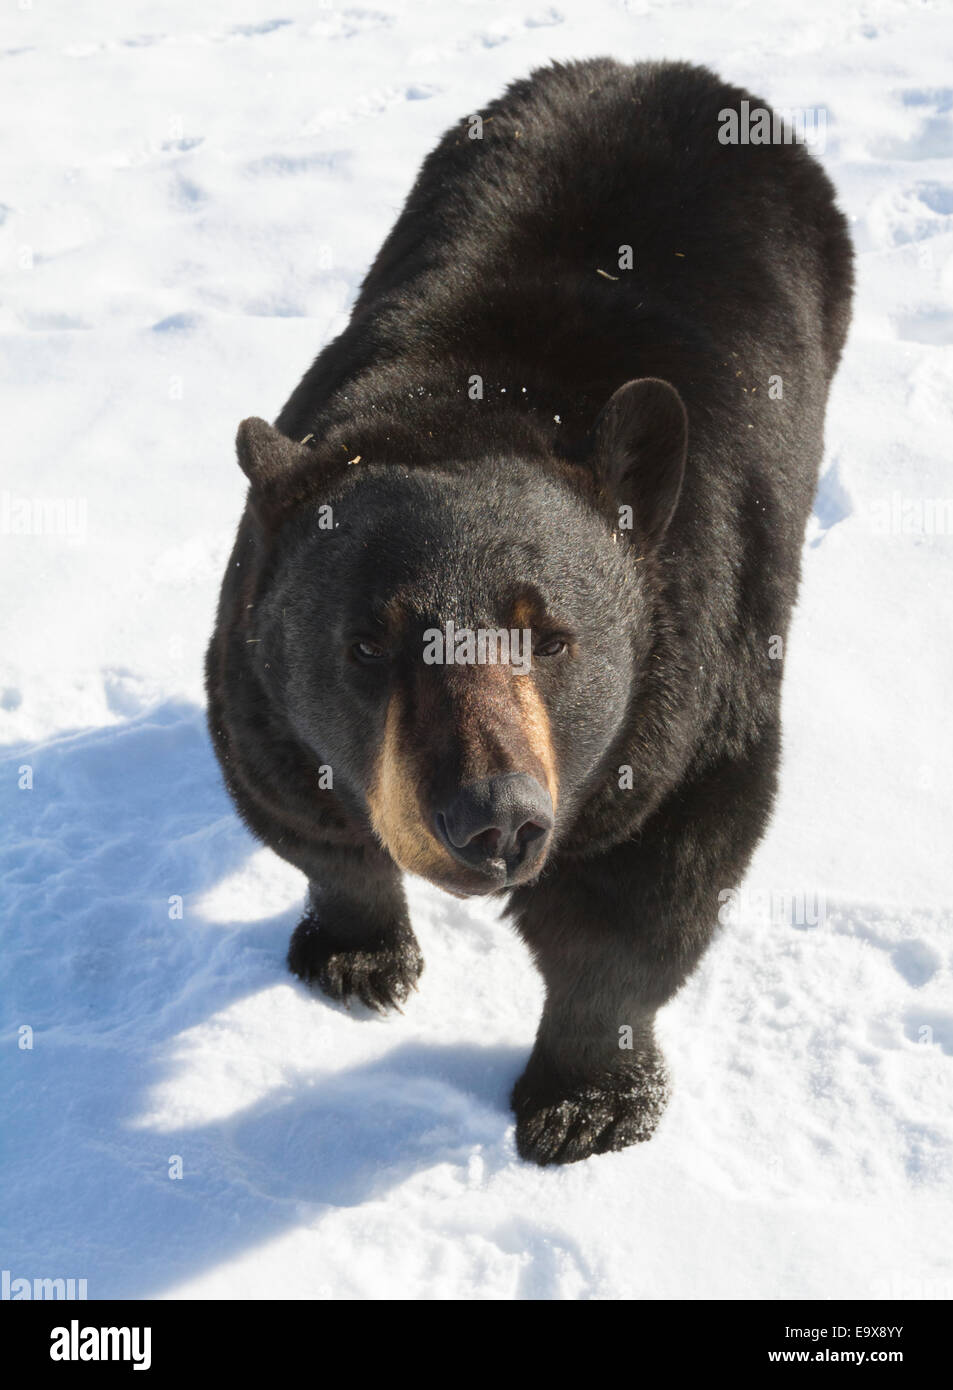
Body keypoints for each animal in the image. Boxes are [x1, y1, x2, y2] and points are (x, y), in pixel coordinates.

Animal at [206, 58, 853, 1165]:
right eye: (366, 643)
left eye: (553, 639)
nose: (493, 819)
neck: (477, 401)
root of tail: (668, 68)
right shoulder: (255, 668)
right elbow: (299, 811)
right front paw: (356, 956)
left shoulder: (688, 689)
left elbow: (646, 894)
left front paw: (586, 1102)